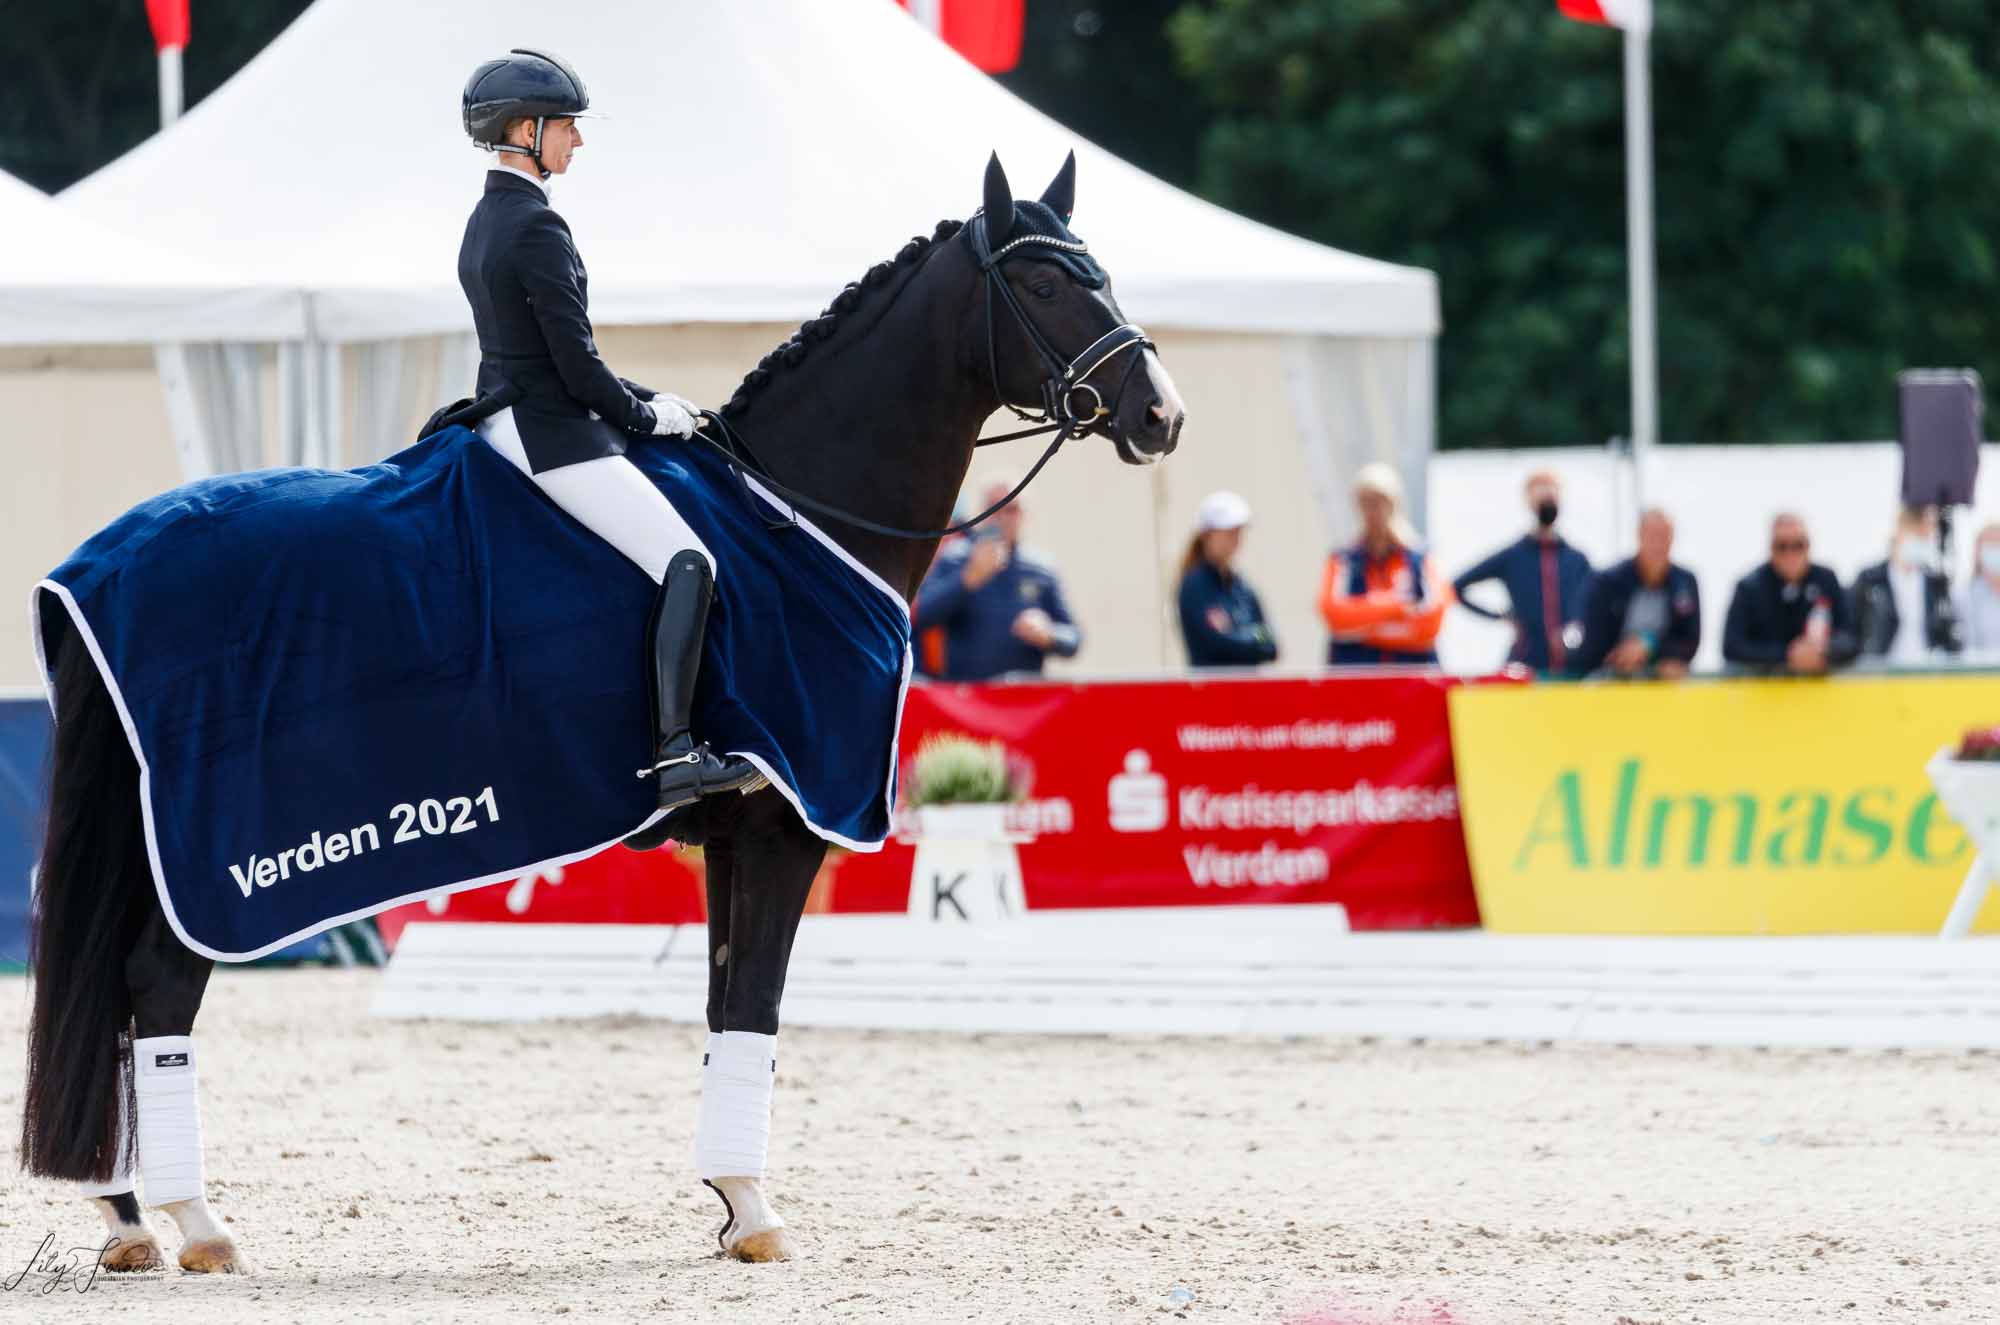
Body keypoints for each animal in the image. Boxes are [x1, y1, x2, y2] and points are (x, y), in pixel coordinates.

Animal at [19, 156, 1184, 1280]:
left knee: (116, 993)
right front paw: (757, 1212)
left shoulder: (738, 831)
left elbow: (724, 1008)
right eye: (1046, 283)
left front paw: (730, 1204)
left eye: (1102, 272)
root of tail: (98, 562)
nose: (1160, 415)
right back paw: (196, 1222)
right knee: (160, 987)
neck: (795, 507)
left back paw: (125, 1220)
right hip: (217, 862)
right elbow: (755, 1005)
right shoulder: (786, 822)